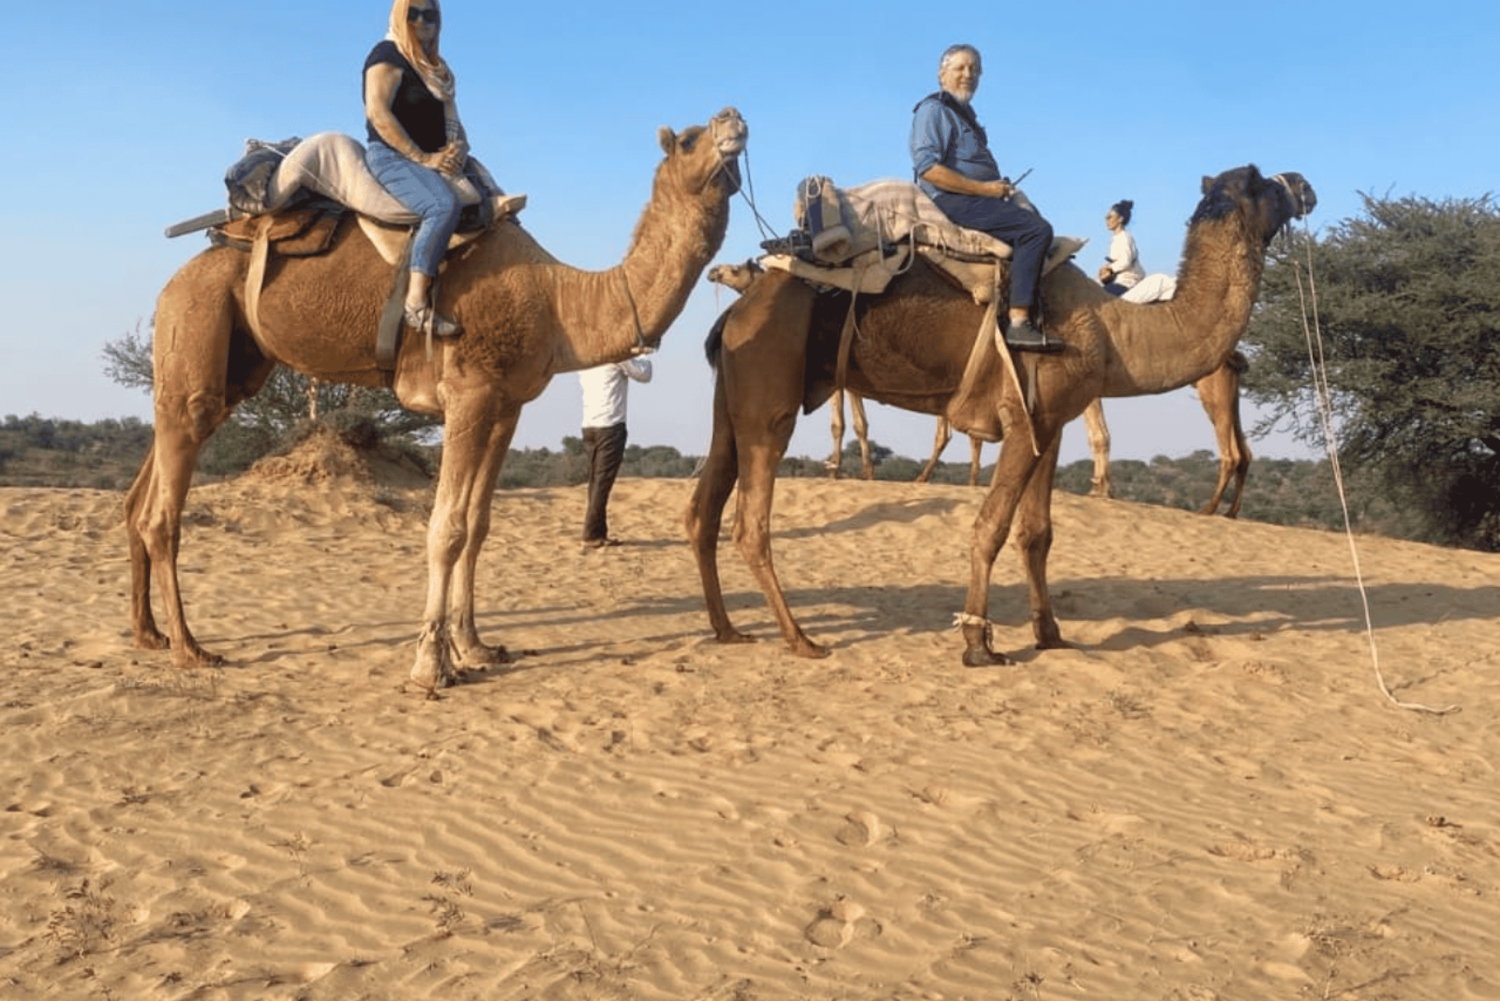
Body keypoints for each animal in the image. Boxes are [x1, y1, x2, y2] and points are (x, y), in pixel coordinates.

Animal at [128, 108, 748, 691]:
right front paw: (431, 665)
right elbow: (445, 529)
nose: (734, 119)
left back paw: (149, 634)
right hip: (198, 314)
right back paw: (190, 648)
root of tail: (182, 272)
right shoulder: (469, 393)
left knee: (154, 473)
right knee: (165, 507)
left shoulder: (506, 405)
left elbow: (477, 524)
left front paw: (475, 646)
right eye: (689, 139)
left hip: (232, 362)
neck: (557, 301)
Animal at [686, 165, 1314, 665]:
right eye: (1262, 181)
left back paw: (728, 629)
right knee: (750, 524)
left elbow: (1037, 533)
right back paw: (800, 638)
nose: (1303, 184)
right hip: (770, 396)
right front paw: (977, 643)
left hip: (731, 406)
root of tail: (738, 313)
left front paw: (1051, 634)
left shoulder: (1050, 423)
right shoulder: (1019, 420)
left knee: (703, 510)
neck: (1115, 333)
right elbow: (989, 527)